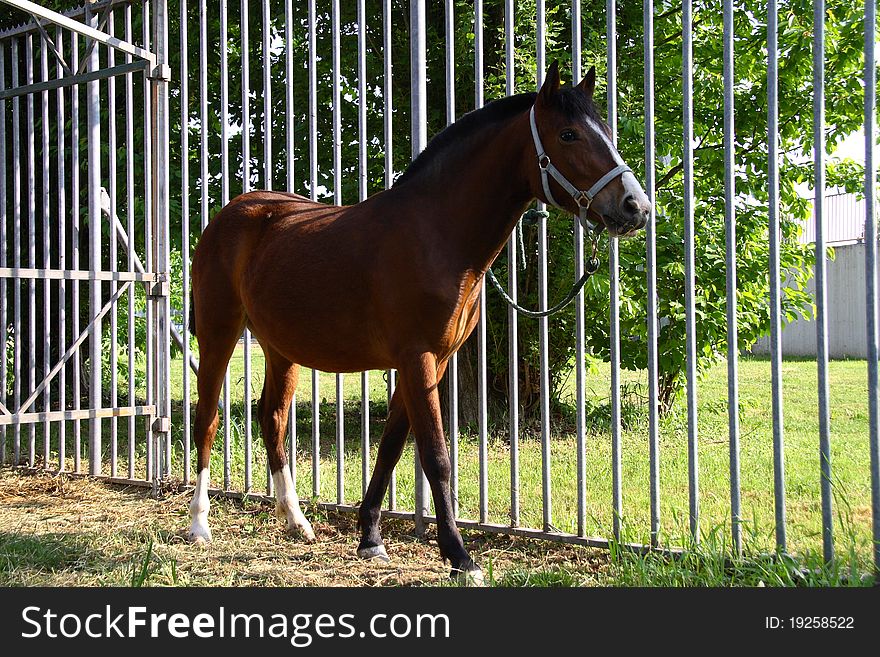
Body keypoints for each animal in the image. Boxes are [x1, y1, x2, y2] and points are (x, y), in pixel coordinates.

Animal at [187, 61, 652, 580]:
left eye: (606, 130)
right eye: (569, 134)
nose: (636, 207)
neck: (437, 235)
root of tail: (231, 213)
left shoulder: (436, 361)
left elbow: (391, 446)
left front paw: (370, 538)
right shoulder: (417, 358)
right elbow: (435, 456)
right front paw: (460, 557)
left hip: (280, 347)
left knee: (272, 418)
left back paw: (296, 521)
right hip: (219, 334)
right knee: (206, 418)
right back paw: (200, 524)